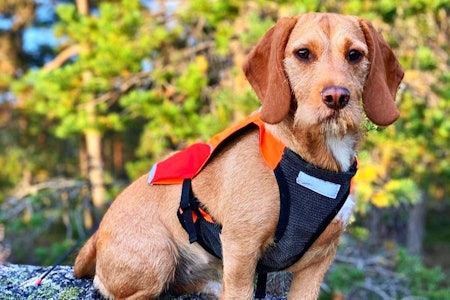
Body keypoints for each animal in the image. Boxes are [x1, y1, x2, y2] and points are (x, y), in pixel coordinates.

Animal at [74, 13, 404, 300]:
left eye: (354, 55)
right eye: (303, 53)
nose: (337, 97)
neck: (315, 161)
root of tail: (97, 235)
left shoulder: (318, 261)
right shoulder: (241, 248)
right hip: (158, 258)